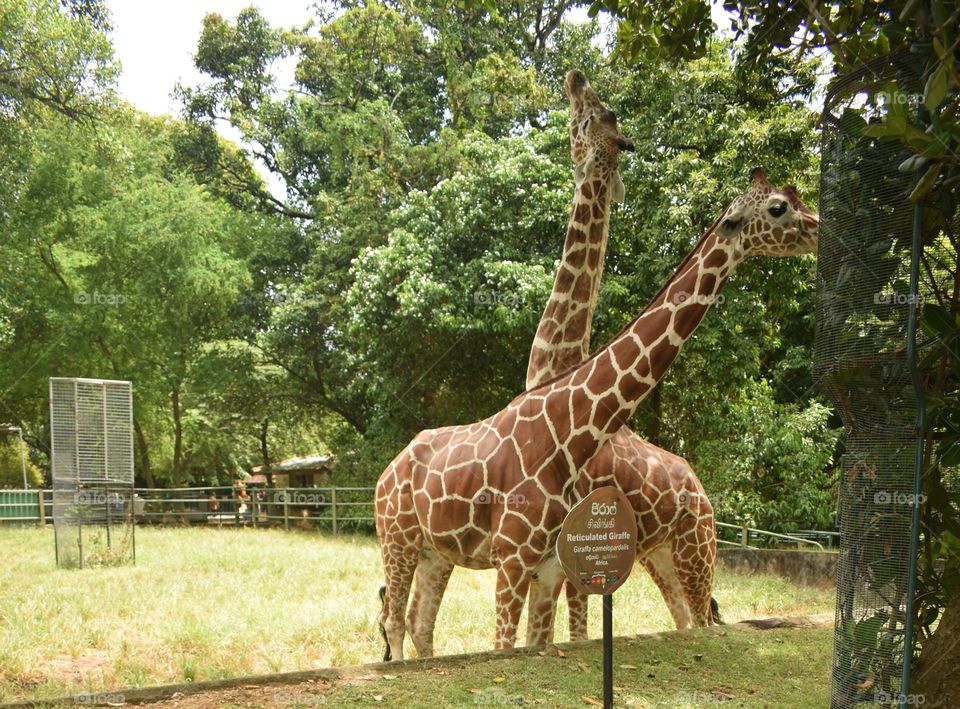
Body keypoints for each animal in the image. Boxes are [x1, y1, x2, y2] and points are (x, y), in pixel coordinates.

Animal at [375, 166, 819, 660]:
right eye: (779, 207)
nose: (819, 228)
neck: (567, 436)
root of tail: (386, 473)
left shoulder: (550, 563)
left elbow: (545, 641)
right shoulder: (513, 558)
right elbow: (514, 645)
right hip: (400, 538)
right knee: (396, 620)